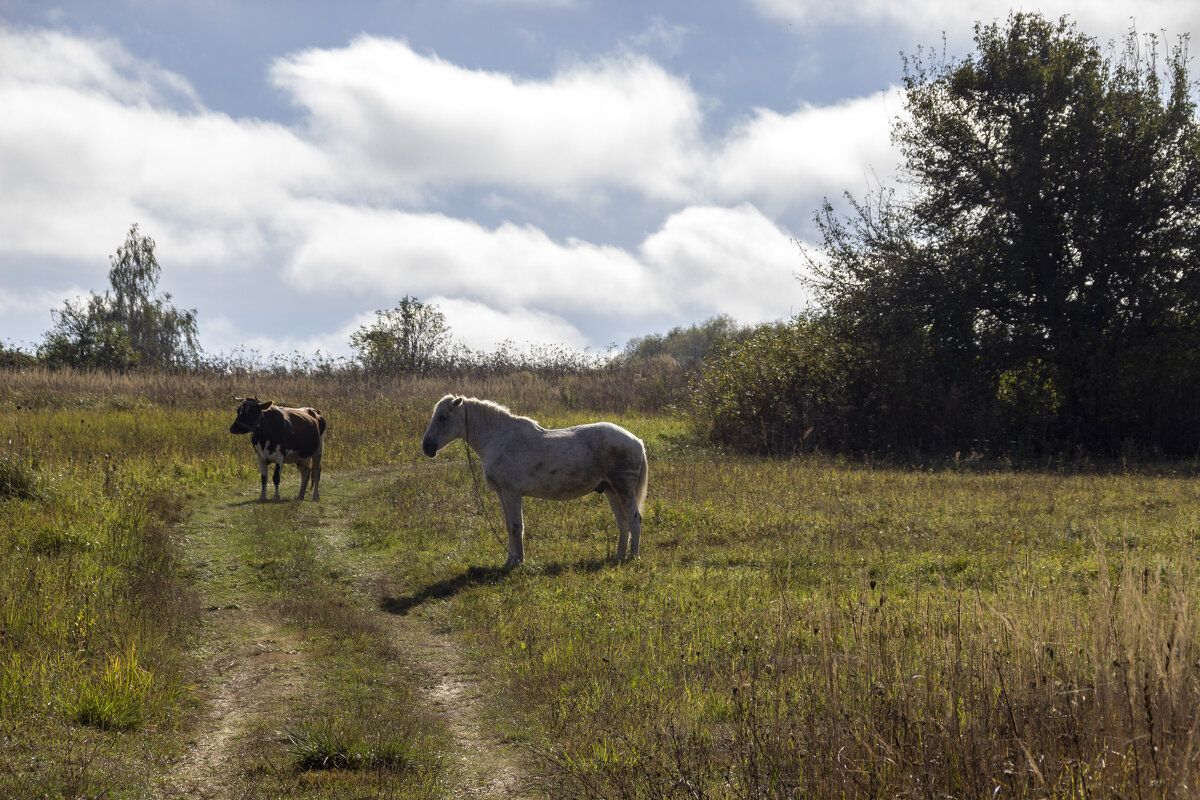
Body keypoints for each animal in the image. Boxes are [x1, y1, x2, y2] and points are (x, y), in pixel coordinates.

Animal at [420, 395, 648, 568]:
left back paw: (633, 557)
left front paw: (517, 562)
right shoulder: (501, 493)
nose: (427, 447)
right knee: (622, 523)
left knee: (634, 520)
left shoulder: (511, 493)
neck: (499, 438)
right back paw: (619, 556)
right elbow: (509, 526)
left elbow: (515, 526)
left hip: (623, 487)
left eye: (442, 417)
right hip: (610, 489)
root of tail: (636, 441)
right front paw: (509, 561)